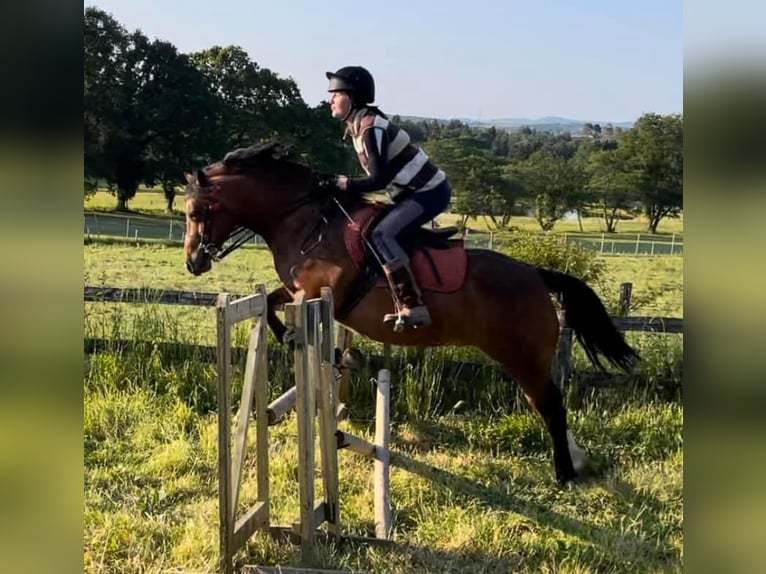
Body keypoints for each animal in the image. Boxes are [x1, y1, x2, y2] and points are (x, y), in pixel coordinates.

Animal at [183, 140, 640, 486]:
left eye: (195, 212)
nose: (193, 262)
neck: (305, 220)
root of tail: (538, 275)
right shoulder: (299, 291)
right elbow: (271, 304)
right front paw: (339, 354)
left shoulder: (322, 290)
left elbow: (287, 312)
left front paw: (314, 345)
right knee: (548, 404)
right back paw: (575, 460)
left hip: (523, 357)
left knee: (550, 405)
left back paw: (565, 472)